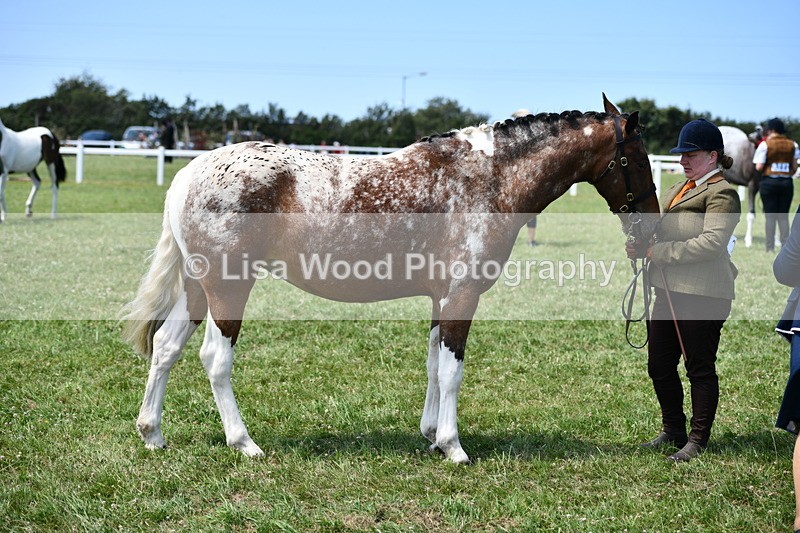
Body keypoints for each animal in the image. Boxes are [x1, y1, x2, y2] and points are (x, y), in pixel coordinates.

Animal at [121, 94, 660, 463]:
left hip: (199, 289)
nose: (652, 224)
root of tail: (187, 174)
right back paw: (244, 442)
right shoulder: (463, 296)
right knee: (216, 358)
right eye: (636, 159)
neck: (488, 179)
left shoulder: (441, 297)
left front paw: (431, 435)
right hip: (229, 289)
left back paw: (153, 433)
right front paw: (454, 446)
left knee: (166, 348)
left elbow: (433, 366)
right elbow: (452, 370)